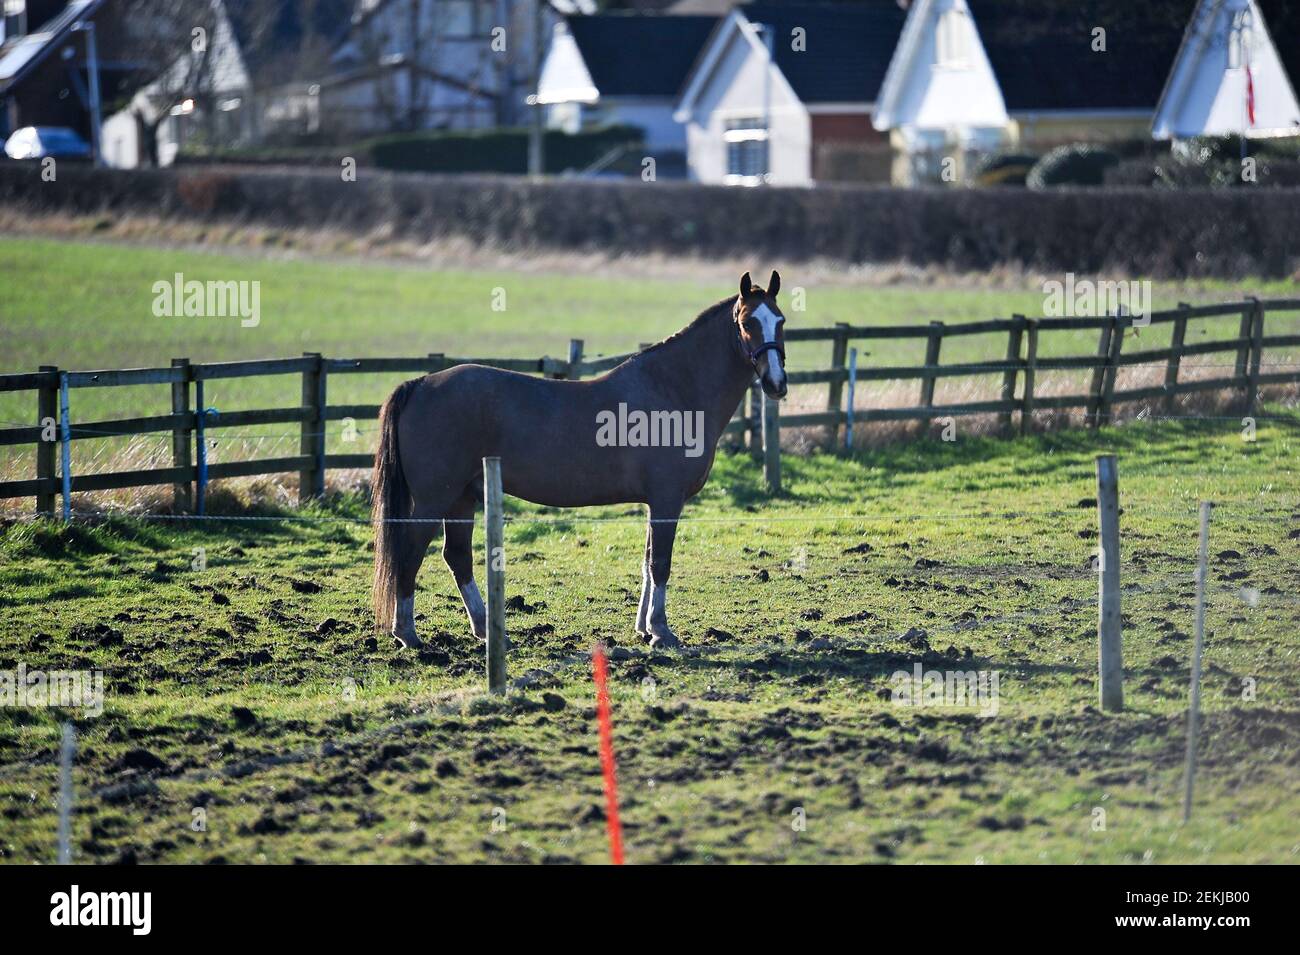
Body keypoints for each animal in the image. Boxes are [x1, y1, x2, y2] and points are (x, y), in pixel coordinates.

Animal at [371, 272, 785, 654]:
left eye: (780, 320)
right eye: (748, 322)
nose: (776, 384)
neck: (674, 390)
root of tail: (420, 384)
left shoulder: (656, 501)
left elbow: (648, 561)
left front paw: (643, 628)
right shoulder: (667, 499)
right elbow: (661, 563)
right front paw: (661, 631)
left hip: (461, 498)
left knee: (457, 557)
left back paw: (489, 631)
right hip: (434, 500)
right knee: (410, 554)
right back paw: (407, 634)